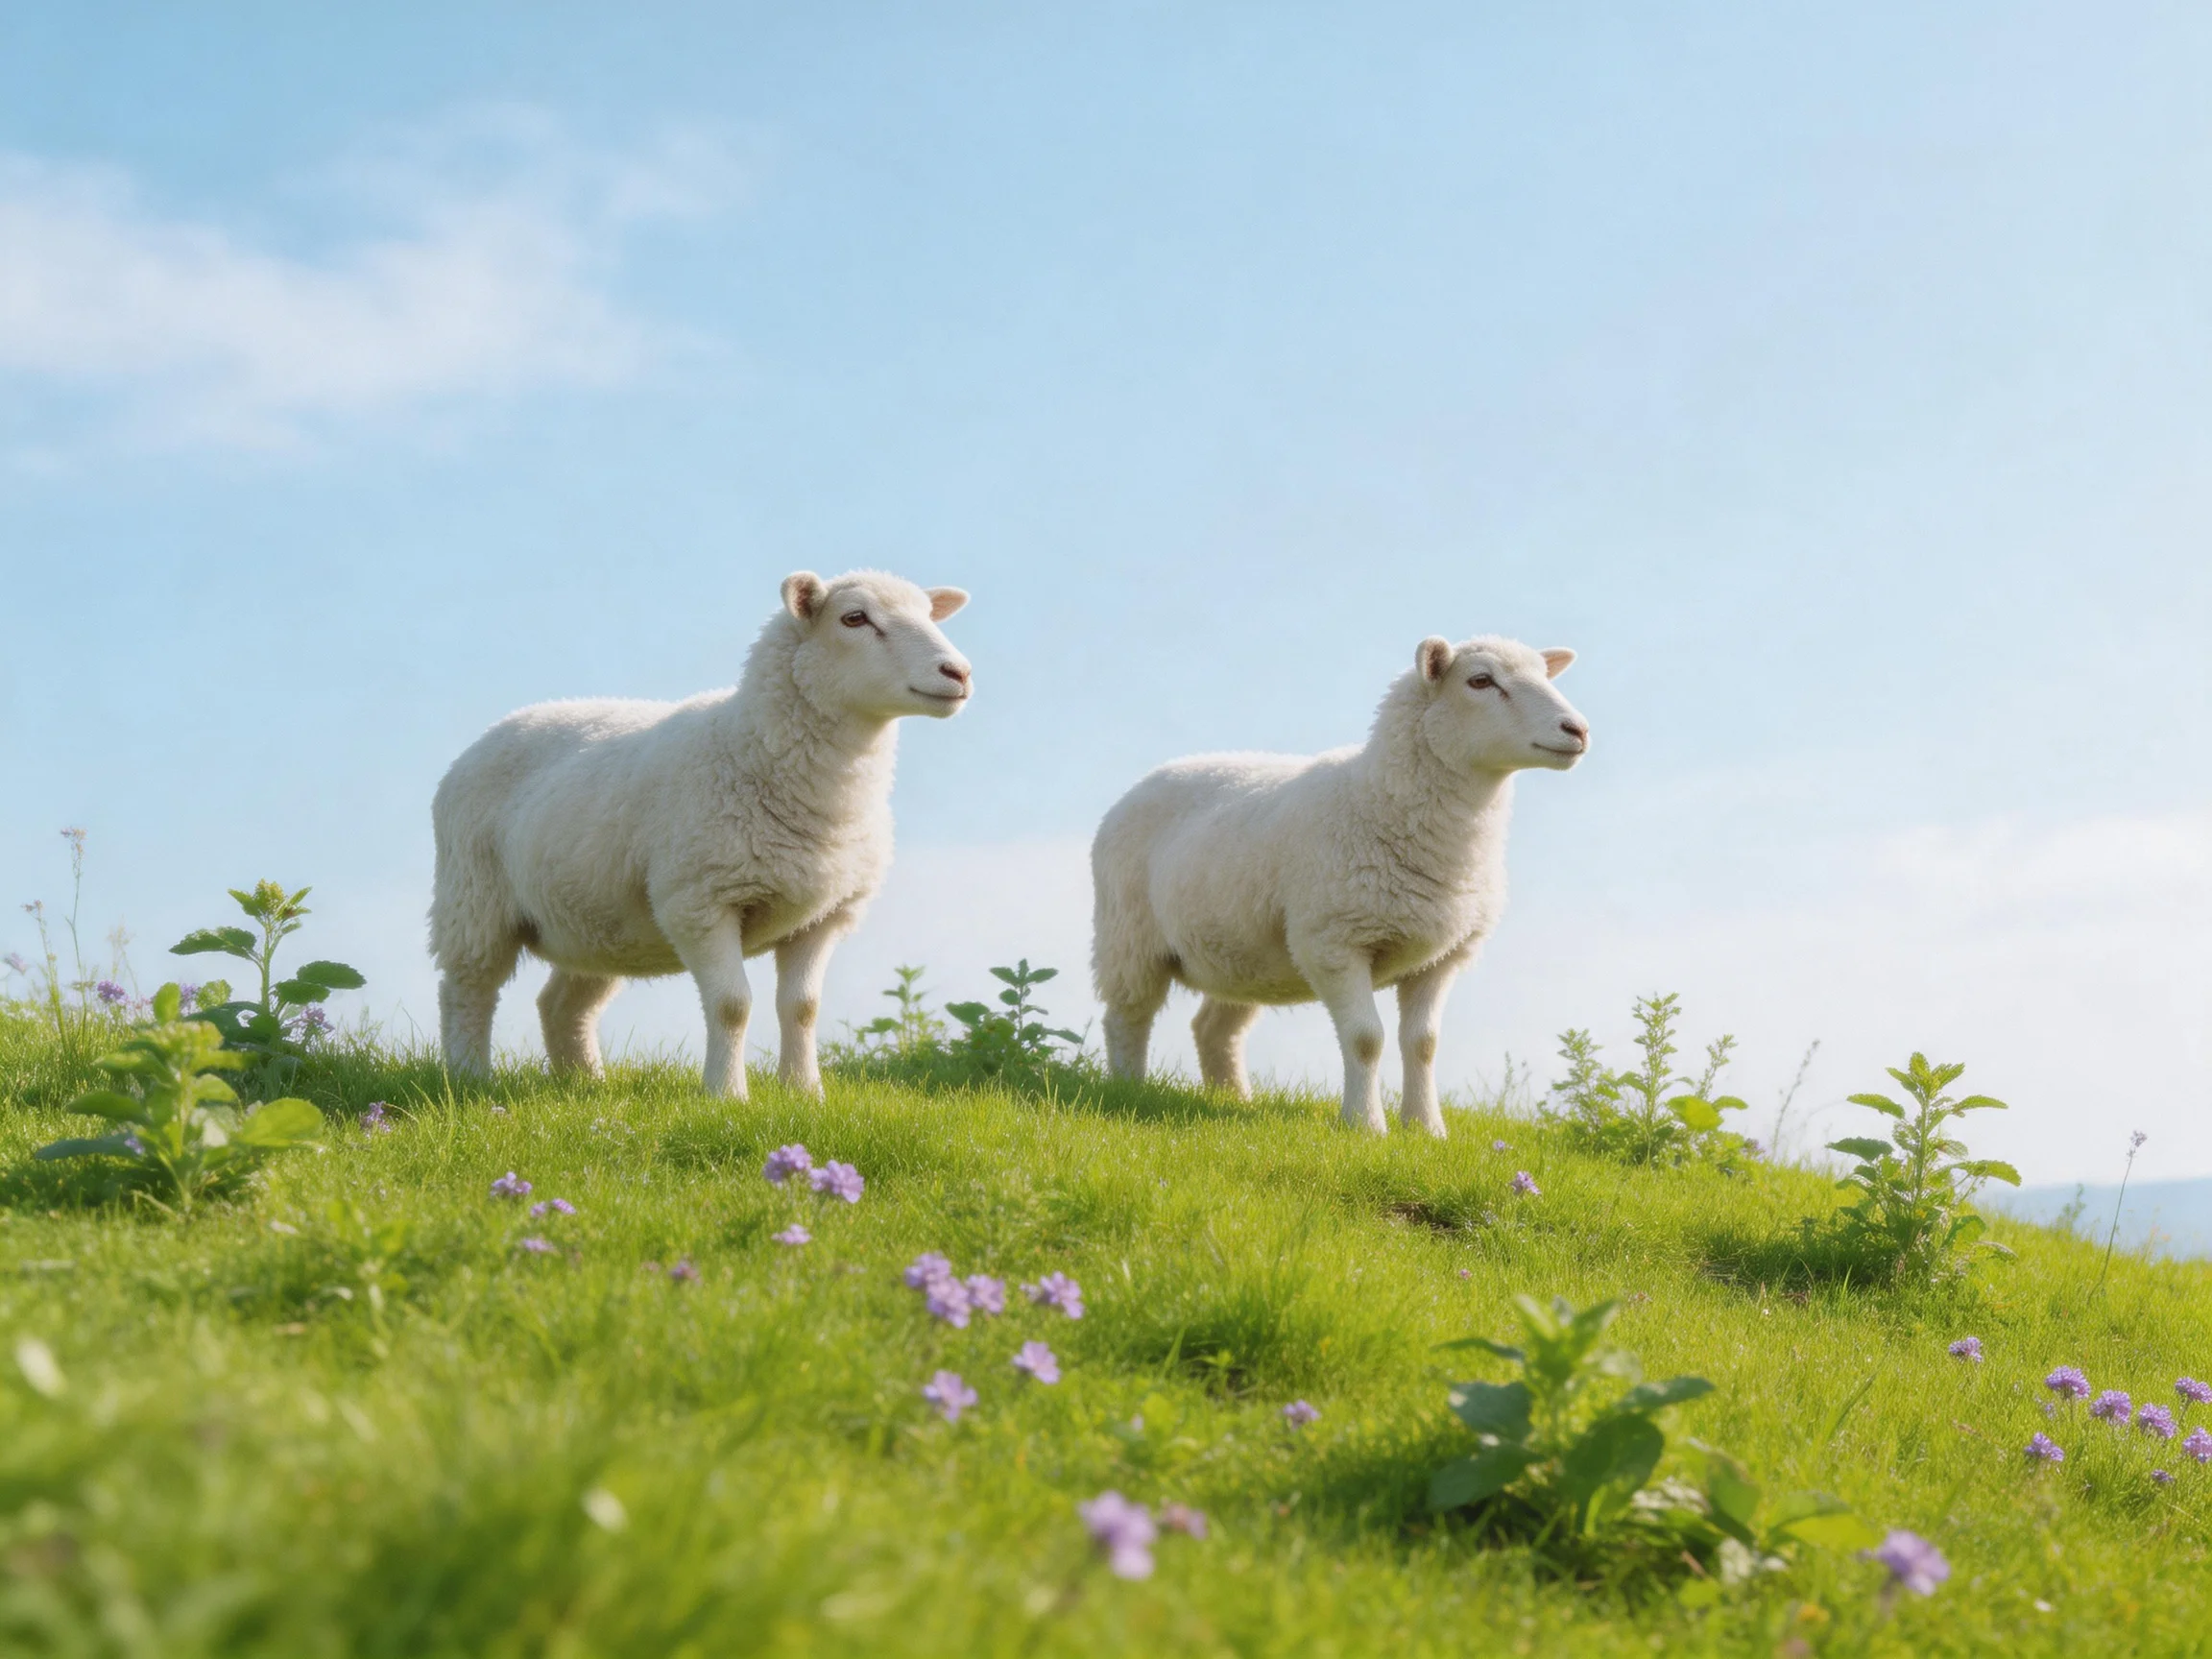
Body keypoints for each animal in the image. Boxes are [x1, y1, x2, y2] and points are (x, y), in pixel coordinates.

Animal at [429, 569, 972, 1100]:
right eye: (854, 618)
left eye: (929, 614)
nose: (959, 673)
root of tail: (503, 726)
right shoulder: (701, 902)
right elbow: (733, 1004)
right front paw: (727, 1096)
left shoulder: (823, 915)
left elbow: (803, 1007)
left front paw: (804, 1094)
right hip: (473, 899)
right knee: (467, 988)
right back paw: (470, 1078)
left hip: (597, 920)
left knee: (563, 1004)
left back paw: (584, 1085)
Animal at [1091, 633, 1587, 1135]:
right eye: (1481, 681)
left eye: (1544, 675)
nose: (1578, 730)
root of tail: (1150, 778)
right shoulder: (1335, 942)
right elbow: (1366, 1038)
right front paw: (1365, 1125)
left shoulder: (1441, 957)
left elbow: (1424, 1043)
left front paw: (1426, 1129)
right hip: (1128, 937)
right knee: (1127, 1017)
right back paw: (1129, 1088)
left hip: (1242, 952)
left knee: (1214, 1029)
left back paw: (1233, 1100)